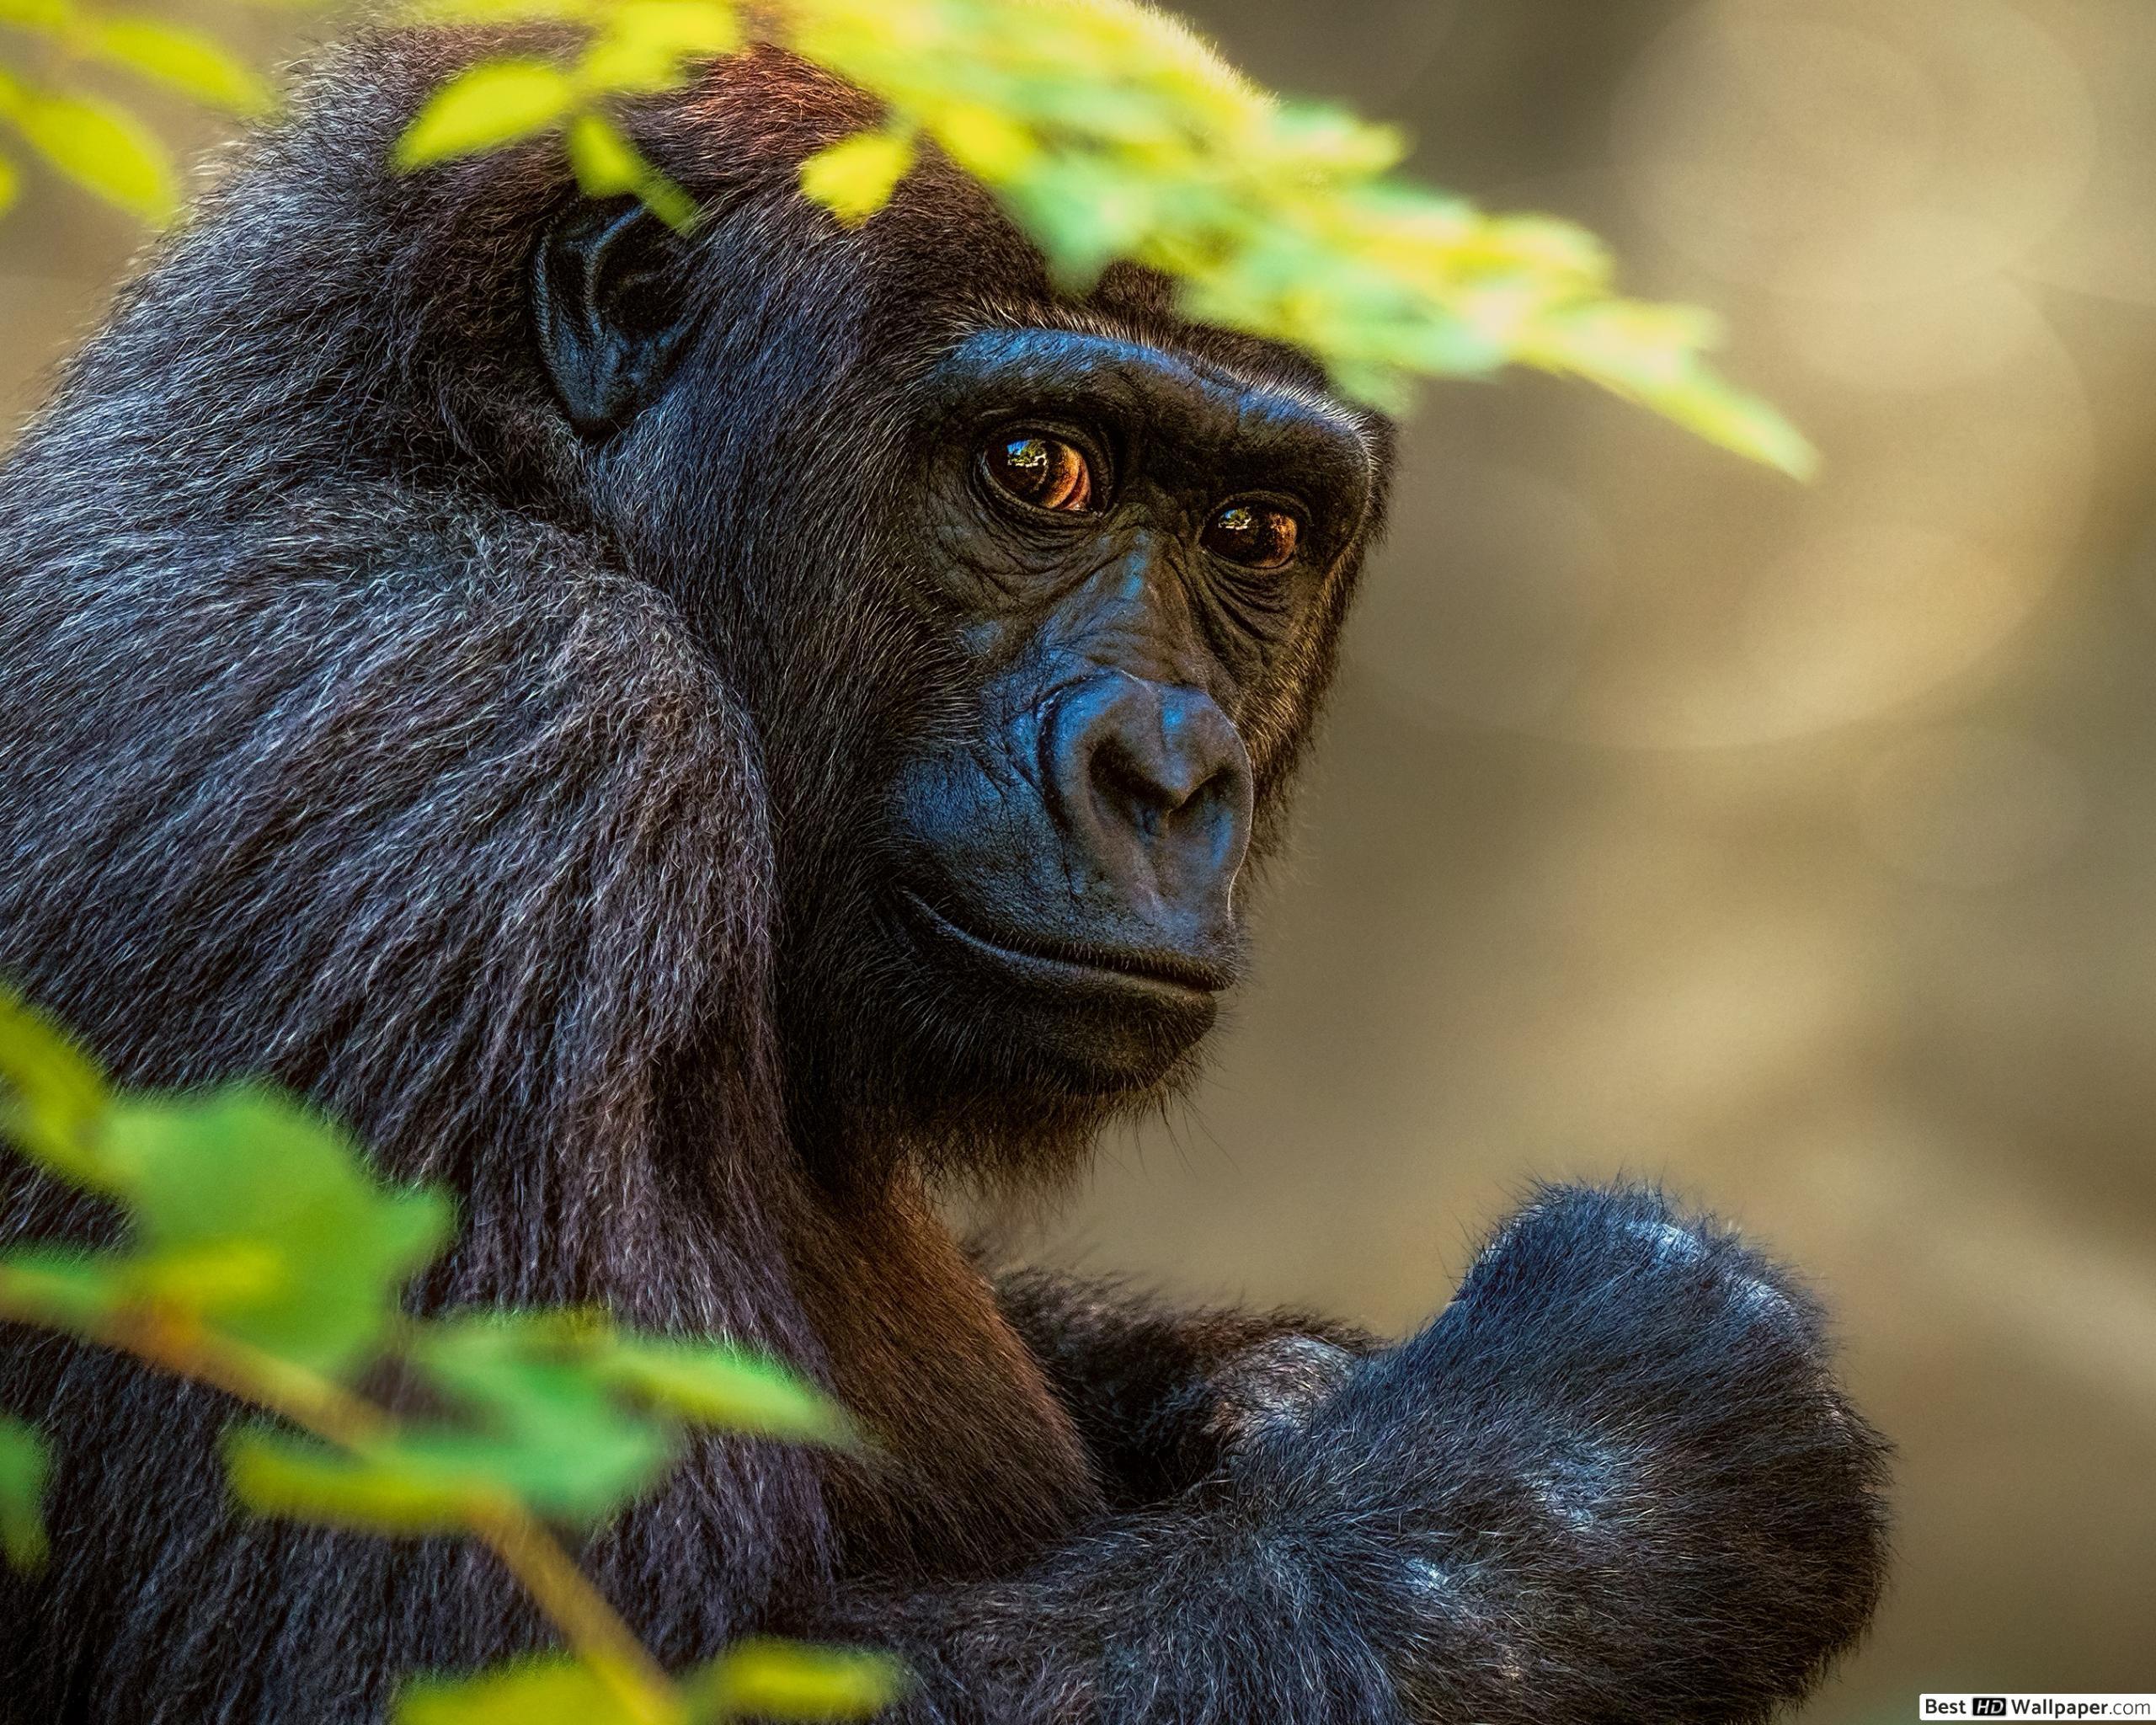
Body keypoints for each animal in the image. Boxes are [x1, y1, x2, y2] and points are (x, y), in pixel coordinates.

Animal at [0, 27, 1888, 1724]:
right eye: (1036, 468)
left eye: (1255, 534)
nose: (1168, 773)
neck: (432, 442)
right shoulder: (474, 748)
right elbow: (507, 1673)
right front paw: (1607, 1465)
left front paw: (1267, 1392)